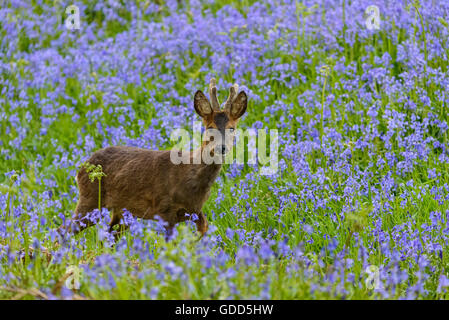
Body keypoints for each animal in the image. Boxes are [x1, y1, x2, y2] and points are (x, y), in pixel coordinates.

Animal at [60, 79, 247, 240]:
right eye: (210, 128)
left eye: (232, 128)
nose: (221, 148)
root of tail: (81, 168)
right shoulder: (164, 208)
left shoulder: (195, 210)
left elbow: (204, 228)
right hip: (91, 199)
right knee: (63, 231)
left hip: (121, 211)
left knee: (109, 235)